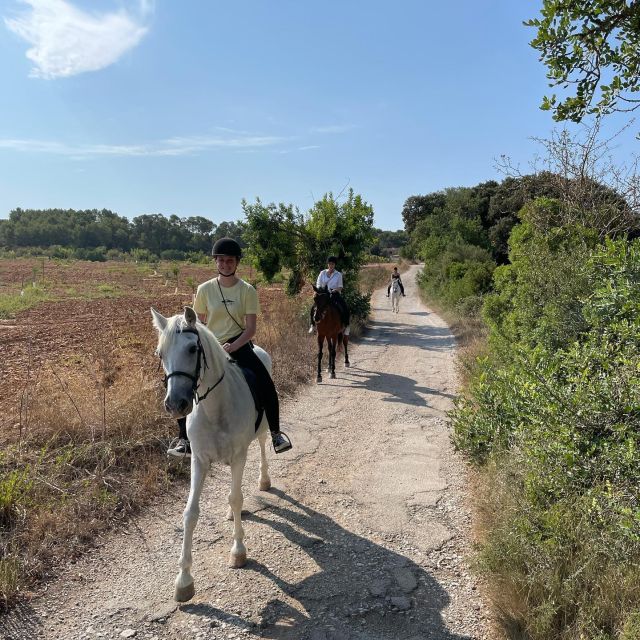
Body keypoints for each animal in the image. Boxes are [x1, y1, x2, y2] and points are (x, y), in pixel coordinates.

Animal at [152, 308, 272, 604]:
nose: (175, 404)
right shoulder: (199, 460)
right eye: (160, 353)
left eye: (193, 348)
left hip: (262, 431)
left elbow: (236, 497)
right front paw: (184, 580)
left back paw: (264, 480)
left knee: (263, 446)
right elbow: (191, 512)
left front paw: (238, 551)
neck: (215, 406)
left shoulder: (239, 455)